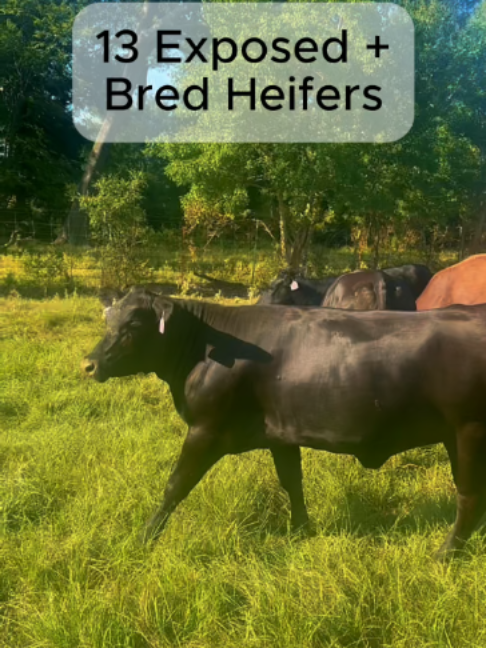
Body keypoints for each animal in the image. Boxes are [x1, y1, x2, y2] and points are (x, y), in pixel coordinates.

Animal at [82, 286, 486, 559]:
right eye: (109, 319)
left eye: (134, 322)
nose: (88, 363)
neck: (206, 348)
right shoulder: (280, 432)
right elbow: (292, 481)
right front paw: (301, 530)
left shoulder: (205, 429)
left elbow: (175, 485)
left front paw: (144, 538)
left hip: (468, 431)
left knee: (469, 494)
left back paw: (447, 553)